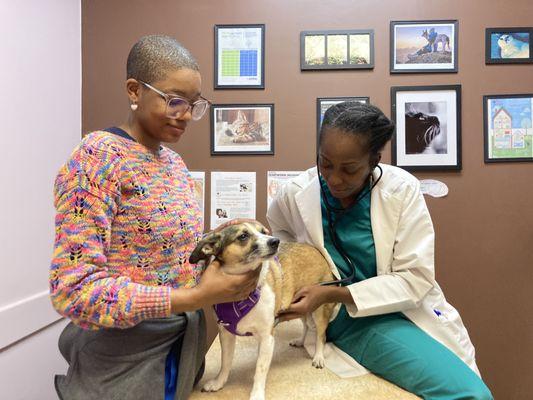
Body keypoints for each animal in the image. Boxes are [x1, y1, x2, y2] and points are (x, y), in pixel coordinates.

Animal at [189, 222, 334, 400]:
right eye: (243, 236)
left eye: (264, 232)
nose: (275, 241)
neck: (242, 297)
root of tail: (316, 249)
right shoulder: (226, 334)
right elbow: (226, 362)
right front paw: (219, 383)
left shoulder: (267, 338)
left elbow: (260, 369)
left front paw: (257, 394)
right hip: (302, 305)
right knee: (306, 325)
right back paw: (300, 341)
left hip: (318, 310)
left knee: (321, 335)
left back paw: (318, 357)